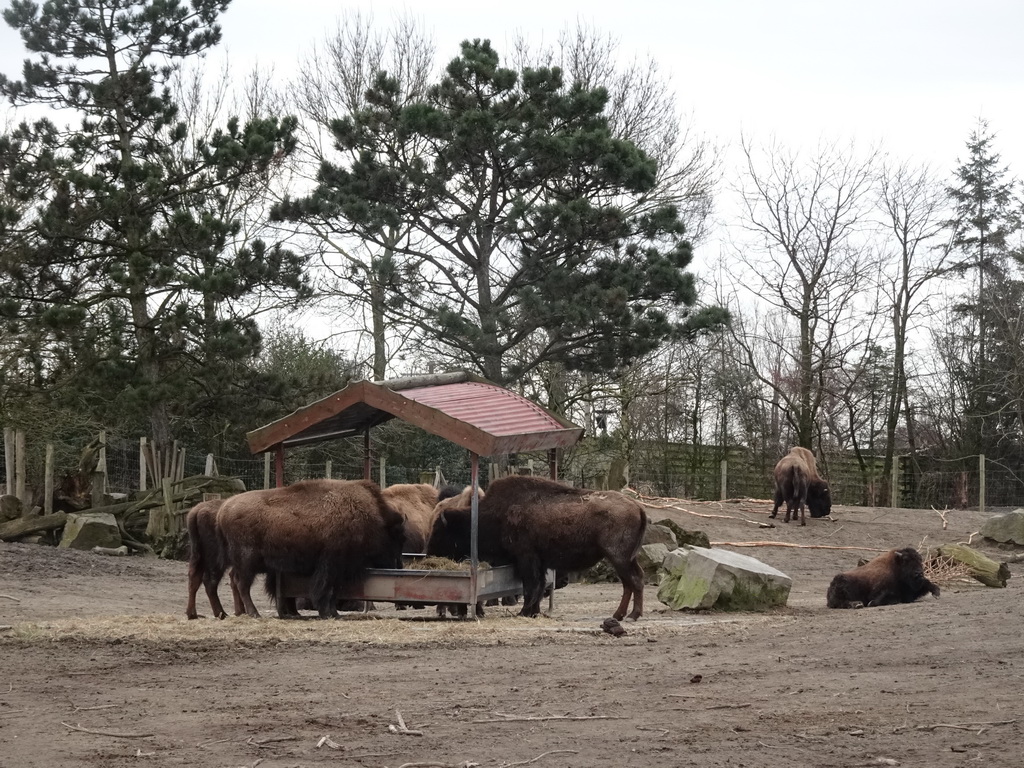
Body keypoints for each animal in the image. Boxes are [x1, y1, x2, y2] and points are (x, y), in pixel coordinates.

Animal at [216, 481, 403, 618]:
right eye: (395, 535)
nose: (395, 564)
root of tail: (222, 511)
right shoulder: (332, 566)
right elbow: (327, 590)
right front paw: (329, 613)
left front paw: (331, 613)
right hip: (247, 563)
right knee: (242, 584)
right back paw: (254, 613)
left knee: (236, 581)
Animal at [428, 479, 643, 622]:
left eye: (439, 531)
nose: (429, 552)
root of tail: (637, 506)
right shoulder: (539, 561)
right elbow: (538, 585)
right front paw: (533, 612)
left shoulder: (526, 558)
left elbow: (530, 586)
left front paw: (524, 611)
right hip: (626, 558)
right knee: (634, 581)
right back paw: (623, 615)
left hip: (618, 557)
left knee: (631, 581)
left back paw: (629, 616)